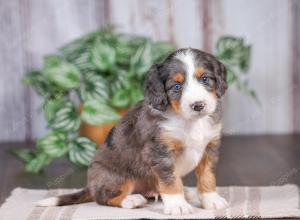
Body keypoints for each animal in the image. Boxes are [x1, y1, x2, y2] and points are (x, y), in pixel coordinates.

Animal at [38, 47, 229, 215]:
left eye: (205, 79)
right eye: (176, 86)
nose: (198, 105)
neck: (190, 122)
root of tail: (90, 185)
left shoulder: (210, 147)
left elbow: (207, 176)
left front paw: (211, 200)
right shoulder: (160, 152)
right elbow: (170, 180)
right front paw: (177, 205)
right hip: (118, 176)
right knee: (103, 197)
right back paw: (131, 200)